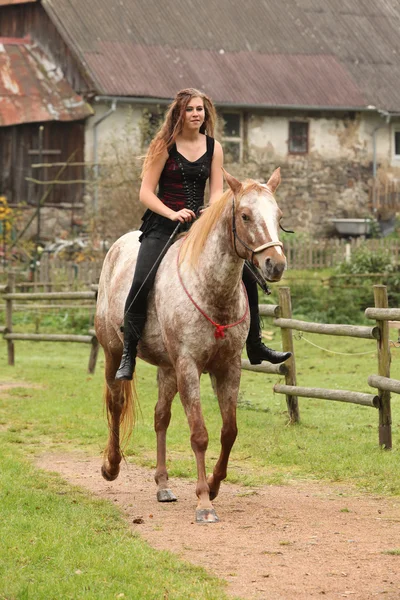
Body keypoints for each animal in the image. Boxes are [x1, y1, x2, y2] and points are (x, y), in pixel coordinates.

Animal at [94, 166, 288, 524]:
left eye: (278, 215)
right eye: (245, 215)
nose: (275, 264)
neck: (211, 290)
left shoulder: (227, 368)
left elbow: (229, 431)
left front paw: (213, 484)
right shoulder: (189, 367)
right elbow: (199, 434)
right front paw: (204, 503)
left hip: (167, 369)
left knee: (161, 417)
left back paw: (163, 485)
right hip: (114, 353)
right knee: (116, 403)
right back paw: (111, 466)